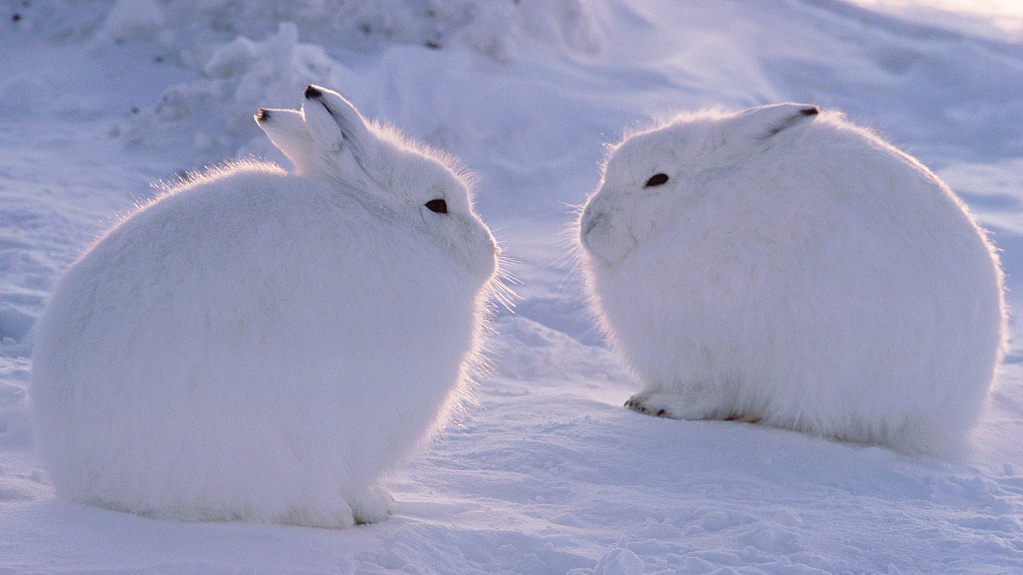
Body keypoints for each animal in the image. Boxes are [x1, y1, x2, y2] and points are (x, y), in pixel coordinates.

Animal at [30, 85, 500, 527]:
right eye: (437, 205)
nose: (492, 250)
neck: (385, 222)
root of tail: (94, 484)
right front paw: (375, 506)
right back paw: (336, 512)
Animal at [577, 103, 1007, 458]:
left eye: (658, 179)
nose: (588, 226)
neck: (693, 206)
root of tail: (951, 415)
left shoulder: (715, 349)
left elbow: (709, 393)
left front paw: (655, 404)